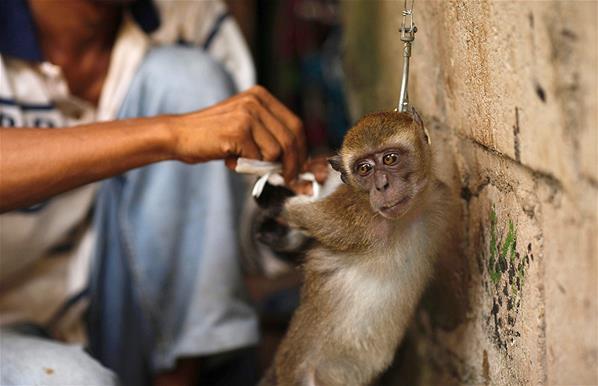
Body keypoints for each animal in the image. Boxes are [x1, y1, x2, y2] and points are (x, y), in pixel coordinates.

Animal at [260, 108, 458, 386]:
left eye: (390, 158)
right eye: (364, 169)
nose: (382, 185)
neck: (406, 217)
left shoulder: (443, 199)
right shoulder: (354, 218)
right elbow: (307, 217)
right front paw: (276, 200)